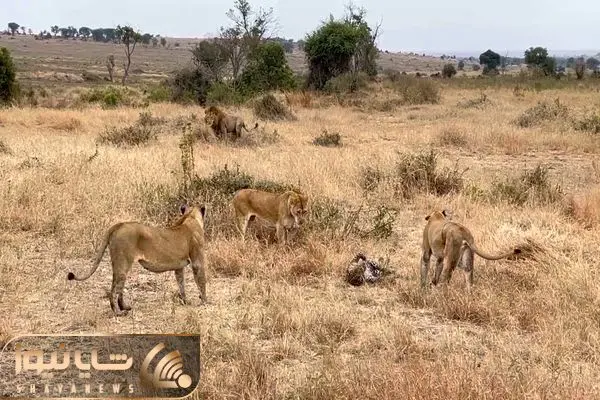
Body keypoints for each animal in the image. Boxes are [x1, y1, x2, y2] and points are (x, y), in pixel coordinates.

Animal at [67, 204, 208, 316]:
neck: (190, 217)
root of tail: (118, 225)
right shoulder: (197, 261)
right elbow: (201, 281)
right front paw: (205, 301)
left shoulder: (179, 266)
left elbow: (181, 284)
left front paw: (186, 301)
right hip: (123, 263)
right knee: (114, 290)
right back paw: (119, 312)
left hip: (118, 264)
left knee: (116, 287)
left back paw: (124, 307)